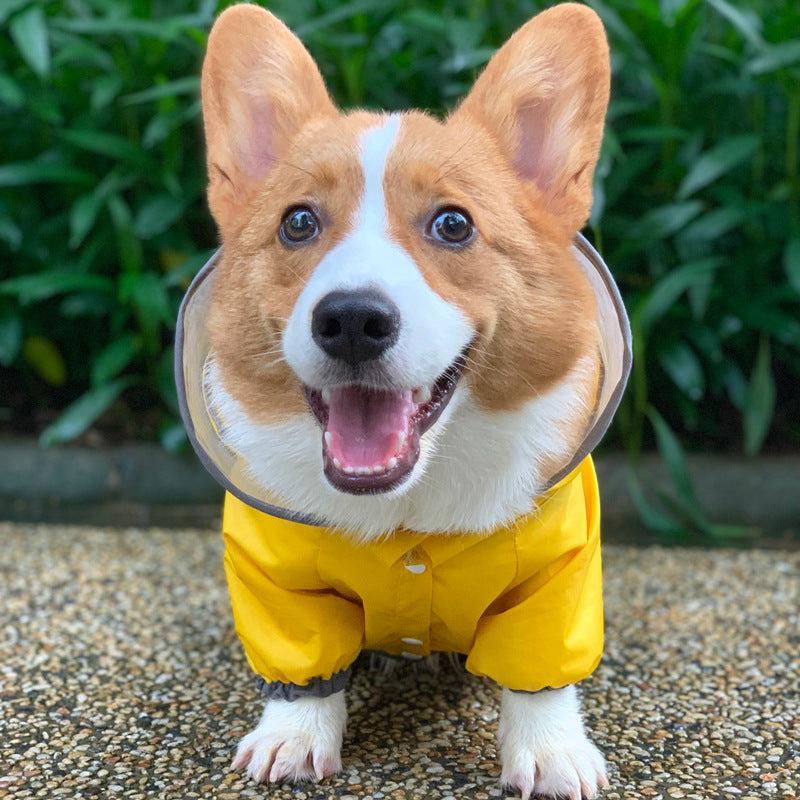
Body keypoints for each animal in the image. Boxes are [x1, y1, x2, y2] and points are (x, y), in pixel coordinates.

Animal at [177, 3, 632, 796]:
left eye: (453, 224)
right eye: (298, 221)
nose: (352, 320)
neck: (407, 513)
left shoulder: (559, 571)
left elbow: (540, 672)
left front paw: (550, 753)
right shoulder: (277, 577)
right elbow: (304, 667)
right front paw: (294, 738)